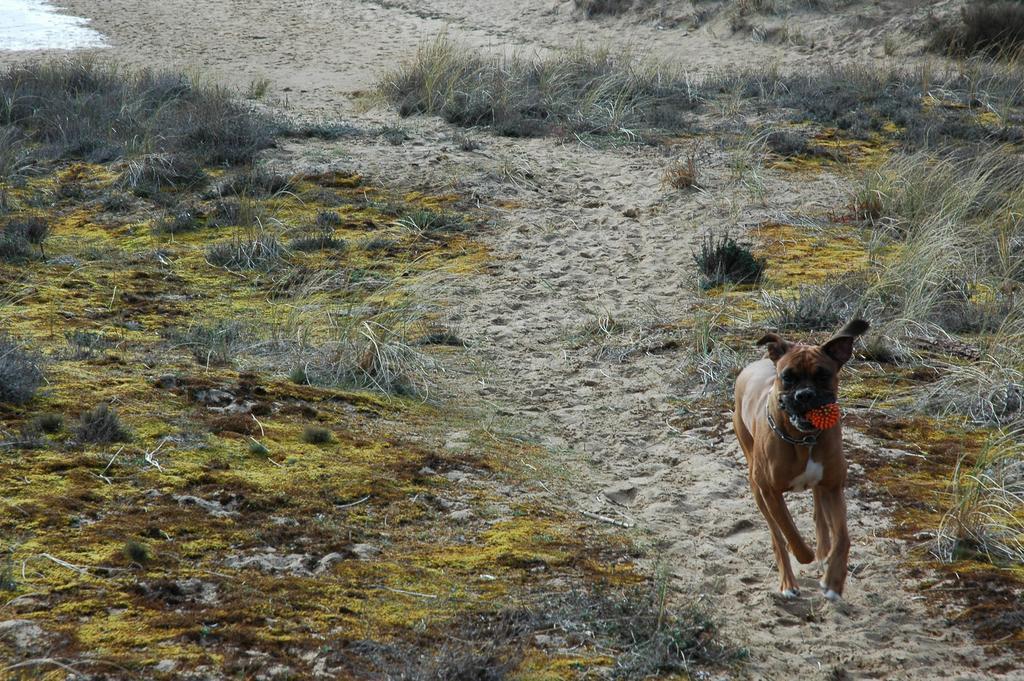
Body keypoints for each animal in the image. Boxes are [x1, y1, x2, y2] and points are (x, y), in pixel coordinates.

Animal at [733, 319, 868, 602]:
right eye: (788, 377)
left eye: (823, 375)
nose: (804, 395)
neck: (803, 440)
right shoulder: (770, 492)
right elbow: (790, 533)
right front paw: (807, 557)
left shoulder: (833, 487)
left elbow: (842, 538)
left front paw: (833, 581)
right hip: (756, 486)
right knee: (777, 536)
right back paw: (789, 581)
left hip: (820, 487)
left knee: (820, 517)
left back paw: (823, 550)